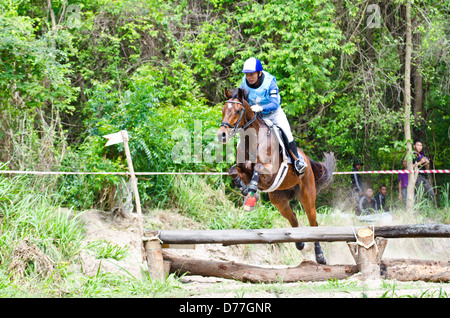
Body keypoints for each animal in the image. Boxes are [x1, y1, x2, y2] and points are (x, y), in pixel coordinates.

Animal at [216, 87, 336, 264]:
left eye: (238, 111)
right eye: (224, 110)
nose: (222, 135)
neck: (252, 140)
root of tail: (306, 158)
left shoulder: (270, 173)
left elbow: (258, 168)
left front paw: (251, 192)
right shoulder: (243, 169)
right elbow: (233, 171)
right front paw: (245, 191)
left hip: (307, 196)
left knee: (313, 222)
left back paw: (320, 256)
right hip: (279, 200)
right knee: (293, 218)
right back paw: (300, 244)